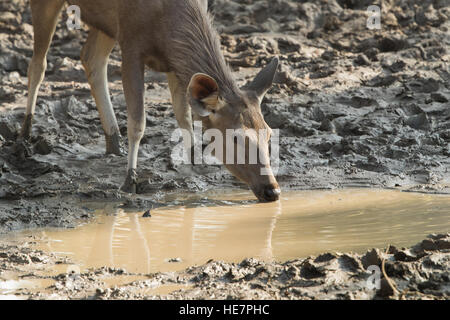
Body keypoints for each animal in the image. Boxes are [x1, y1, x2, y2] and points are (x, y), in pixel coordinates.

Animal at [22, 0, 282, 201]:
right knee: (38, 64)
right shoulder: (130, 43)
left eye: (269, 134)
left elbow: (183, 116)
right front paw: (130, 181)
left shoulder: (172, 62)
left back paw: (113, 142)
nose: (272, 191)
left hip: (105, 23)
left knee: (90, 58)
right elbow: (138, 122)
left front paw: (194, 163)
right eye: (236, 137)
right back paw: (24, 133)